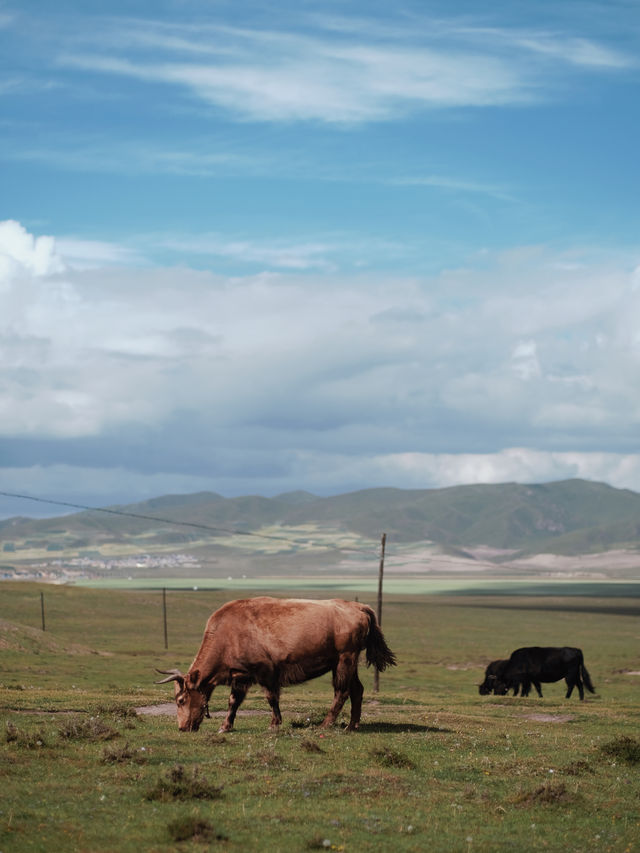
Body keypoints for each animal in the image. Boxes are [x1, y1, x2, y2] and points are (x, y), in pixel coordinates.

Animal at [156, 592, 396, 732]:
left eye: (180, 700)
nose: (182, 728)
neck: (227, 633)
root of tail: (358, 607)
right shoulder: (240, 674)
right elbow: (234, 701)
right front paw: (226, 726)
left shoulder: (264, 672)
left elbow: (271, 698)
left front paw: (274, 724)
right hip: (349, 662)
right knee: (357, 689)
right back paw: (352, 725)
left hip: (344, 659)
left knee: (342, 691)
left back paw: (326, 725)